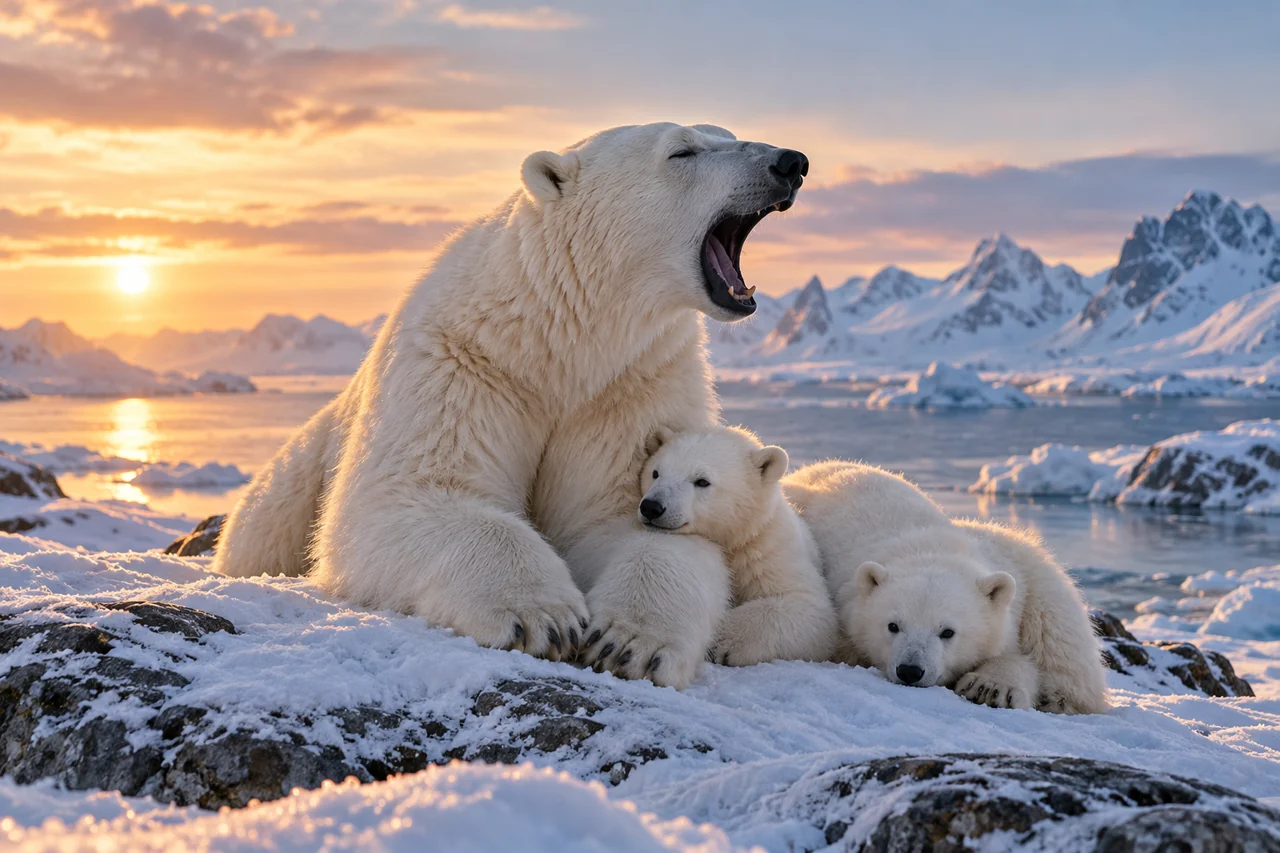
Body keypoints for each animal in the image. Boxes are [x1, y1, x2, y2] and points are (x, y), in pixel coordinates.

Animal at [212, 122, 809, 690]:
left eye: (727, 134)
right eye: (682, 151)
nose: (791, 162)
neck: (556, 340)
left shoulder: (629, 384)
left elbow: (623, 516)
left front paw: (629, 642)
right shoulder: (462, 363)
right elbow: (412, 494)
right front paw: (541, 617)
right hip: (281, 501)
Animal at [627, 426, 838, 667]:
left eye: (702, 481)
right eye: (655, 472)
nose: (652, 507)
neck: (733, 538)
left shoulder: (769, 552)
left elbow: (808, 607)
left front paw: (723, 642)